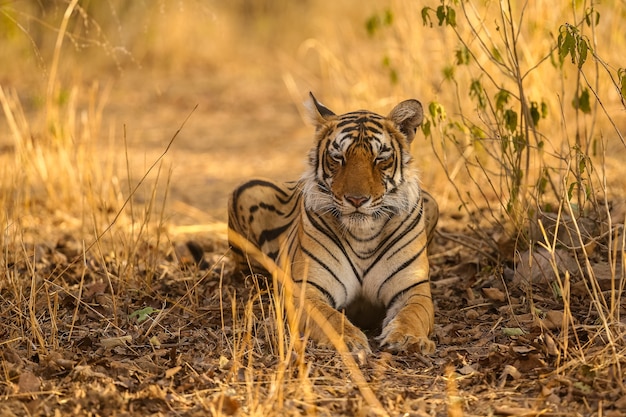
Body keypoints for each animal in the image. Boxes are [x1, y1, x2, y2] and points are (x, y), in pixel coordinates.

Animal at [227, 92, 436, 352]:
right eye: (338, 157)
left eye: (380, 158)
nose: (357, 199)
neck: (364, 235)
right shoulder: (308, 290)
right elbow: (330, 318)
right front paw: (350, 340)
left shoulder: (413, 289)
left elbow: (413, 314)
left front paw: (408, 338)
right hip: (247, 190)